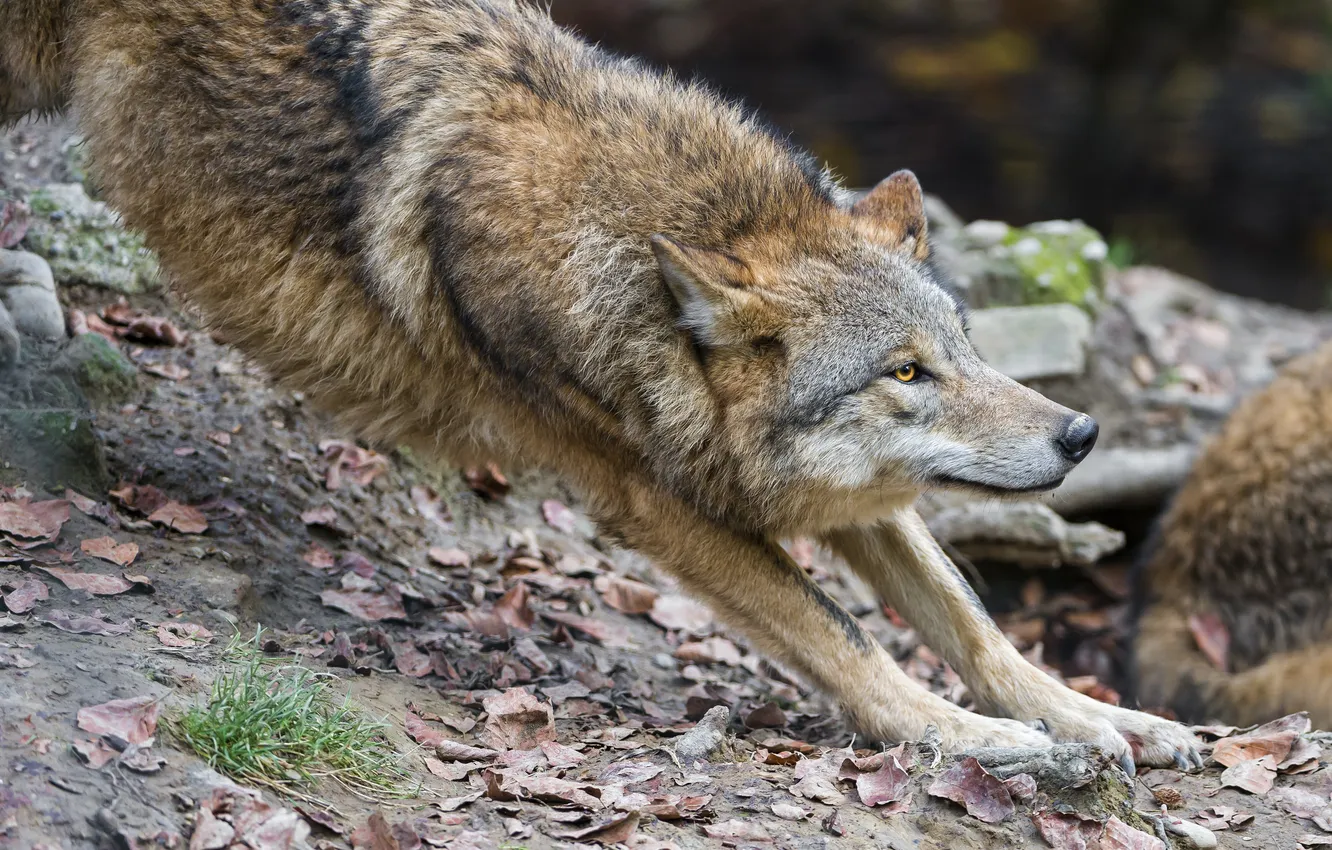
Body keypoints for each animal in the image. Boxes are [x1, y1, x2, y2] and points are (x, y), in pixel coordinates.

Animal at [2, 0, 1209, 772]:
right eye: (904, 372)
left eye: (963, 348)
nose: (1083, 433)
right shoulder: (656, 501)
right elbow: (844, 634)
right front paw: (980, 741)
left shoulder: (829, 497)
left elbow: (973, 623)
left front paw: (1103, 722)